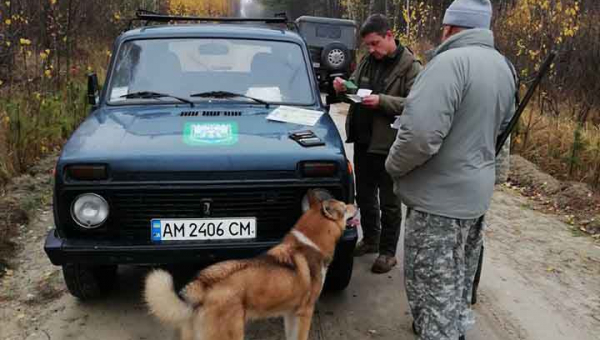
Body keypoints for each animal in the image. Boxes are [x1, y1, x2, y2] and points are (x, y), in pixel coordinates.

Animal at [143, 189, 354, 340]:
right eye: (344, 207)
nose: (355, 205)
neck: (309, 243)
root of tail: (201, 288)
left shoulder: (290, 313)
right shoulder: (305, 312)